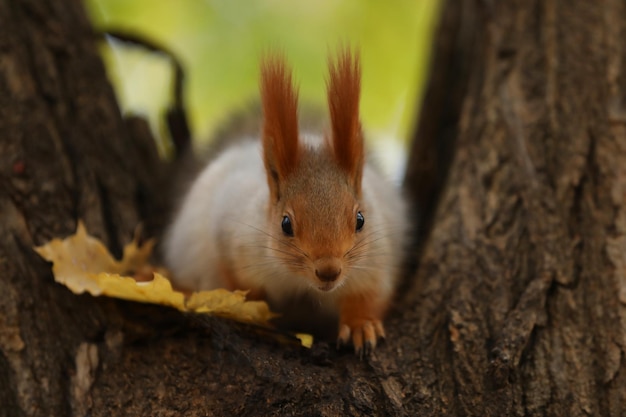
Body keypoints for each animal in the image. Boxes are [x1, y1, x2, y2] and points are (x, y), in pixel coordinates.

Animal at [165, 49, 410, 354]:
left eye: (360, 220)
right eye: (285, 224)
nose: (328, 271)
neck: (301, 283)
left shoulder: (376, 261)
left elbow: (369, 296)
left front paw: (360, 326)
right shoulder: (230, 234)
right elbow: (238, 283)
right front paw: (252, 310)